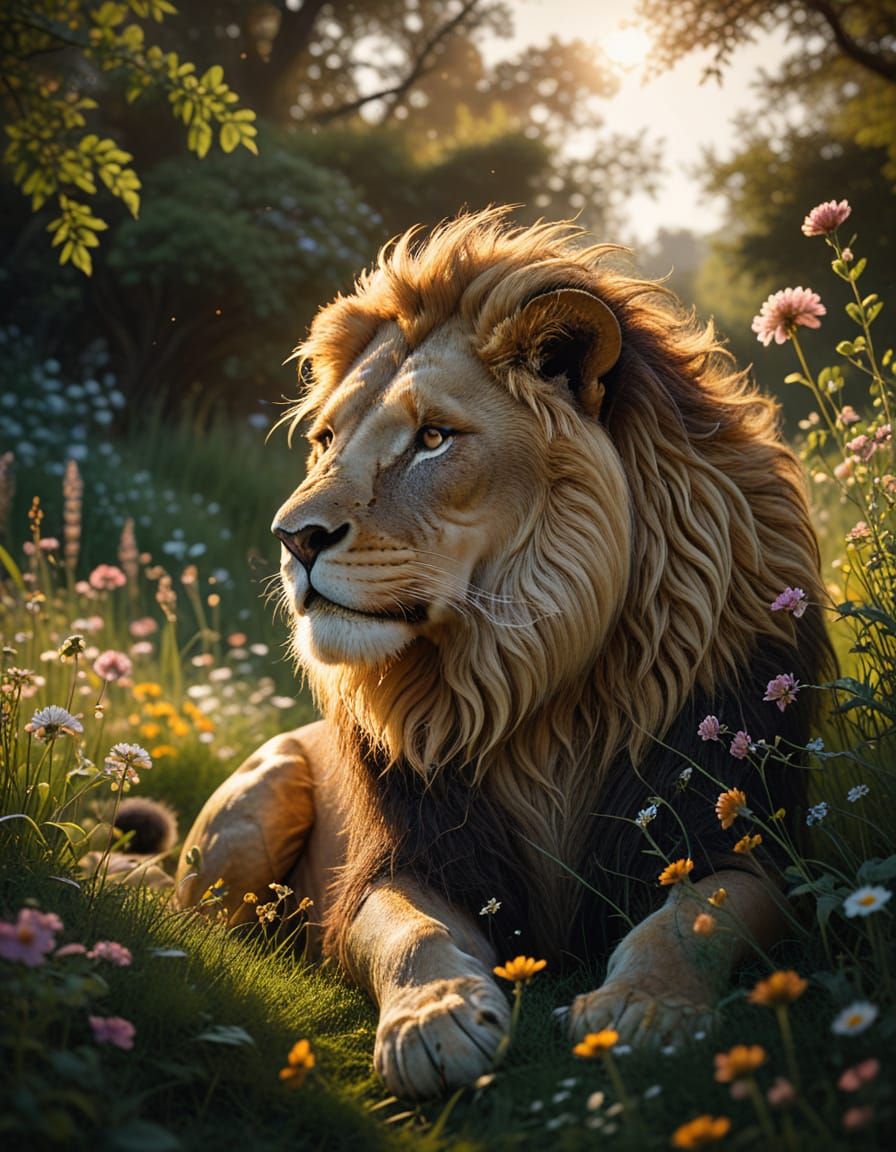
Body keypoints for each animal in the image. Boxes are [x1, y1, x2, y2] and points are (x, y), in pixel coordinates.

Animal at [177, 208, 832, 1100]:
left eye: (432, 438)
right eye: (324, 439)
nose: (292, 537)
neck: (532, 670)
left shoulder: (742, 838)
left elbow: (691, 918)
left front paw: (644, 1006)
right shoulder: (413, 857)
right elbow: (411, 933)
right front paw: (434, 1018)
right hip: (262, 797)